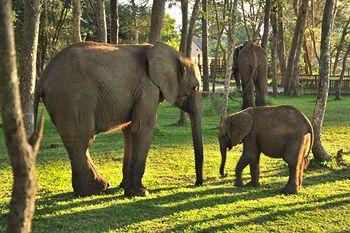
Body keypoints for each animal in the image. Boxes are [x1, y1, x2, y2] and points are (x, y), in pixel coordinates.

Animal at [34, 41, 204, 197]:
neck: (177, 55)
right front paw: (140, 193)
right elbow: (142, 128)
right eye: (194, 88)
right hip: (72, 98)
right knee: (83, 138)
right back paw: (93, 190)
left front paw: (124, 187)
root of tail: (41, 79)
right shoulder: (147, 88)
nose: (197, 184)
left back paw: (100, 186)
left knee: (79, 142)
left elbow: (129, 131)